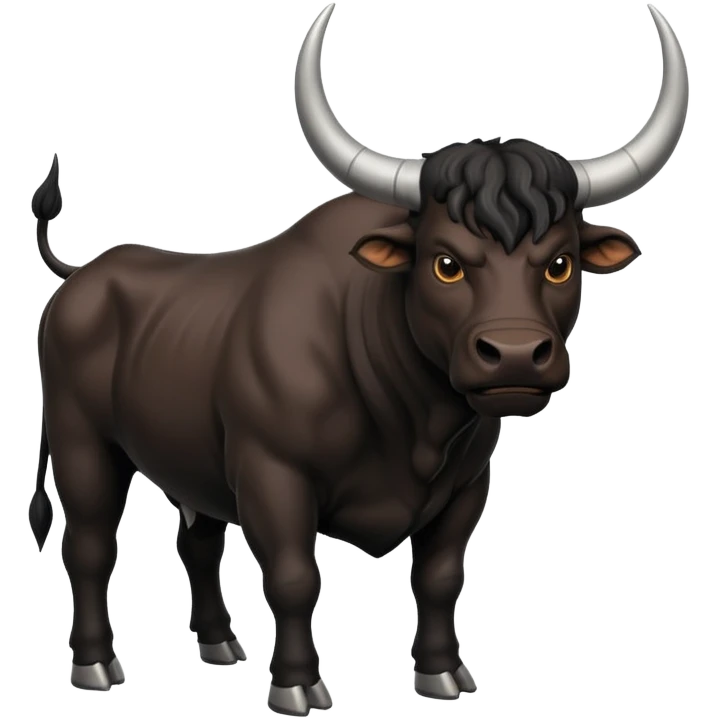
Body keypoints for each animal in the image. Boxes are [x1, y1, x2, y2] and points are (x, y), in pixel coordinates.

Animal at [29, 2, 688, 715]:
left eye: (561, 263)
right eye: (446, 263)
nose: (514, 355)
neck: (410, 418)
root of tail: (85, 275)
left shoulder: (467, 485)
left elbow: (439, 577)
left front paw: (442, 673)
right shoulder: (272, 474)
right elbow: (294, 577)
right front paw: (296, 682)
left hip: (190, 458)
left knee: (197, 541)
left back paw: (219, 644)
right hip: (82, 444)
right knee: (89, 546)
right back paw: (96, 664)